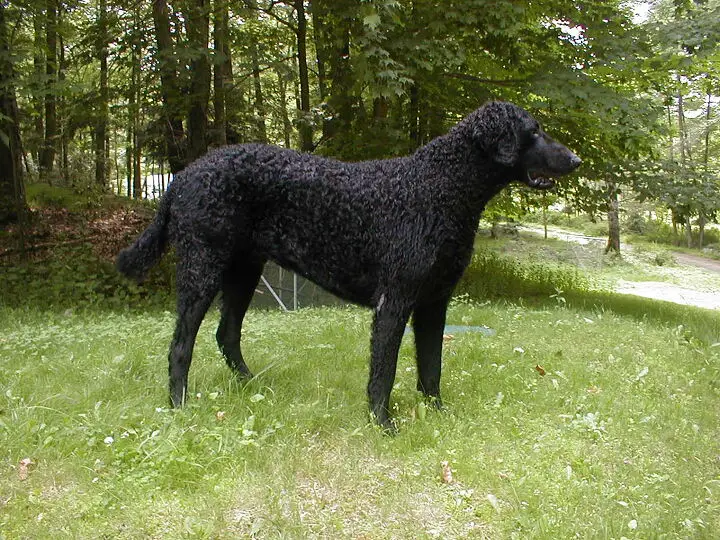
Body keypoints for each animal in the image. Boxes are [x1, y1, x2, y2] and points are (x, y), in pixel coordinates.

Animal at [116, 101, 580, 430]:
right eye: (534, 131)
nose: (576, 160)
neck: (440, 187)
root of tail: (182, 176)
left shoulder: (435, 302)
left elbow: (431, 368)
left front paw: (438, 415)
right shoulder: (395, 301)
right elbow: (384, 371)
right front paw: (383, 423)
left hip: (244, 270)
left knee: (226, 334)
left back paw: (252, 388)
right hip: (202, 266)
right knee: (181, 346)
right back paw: (178, 406)